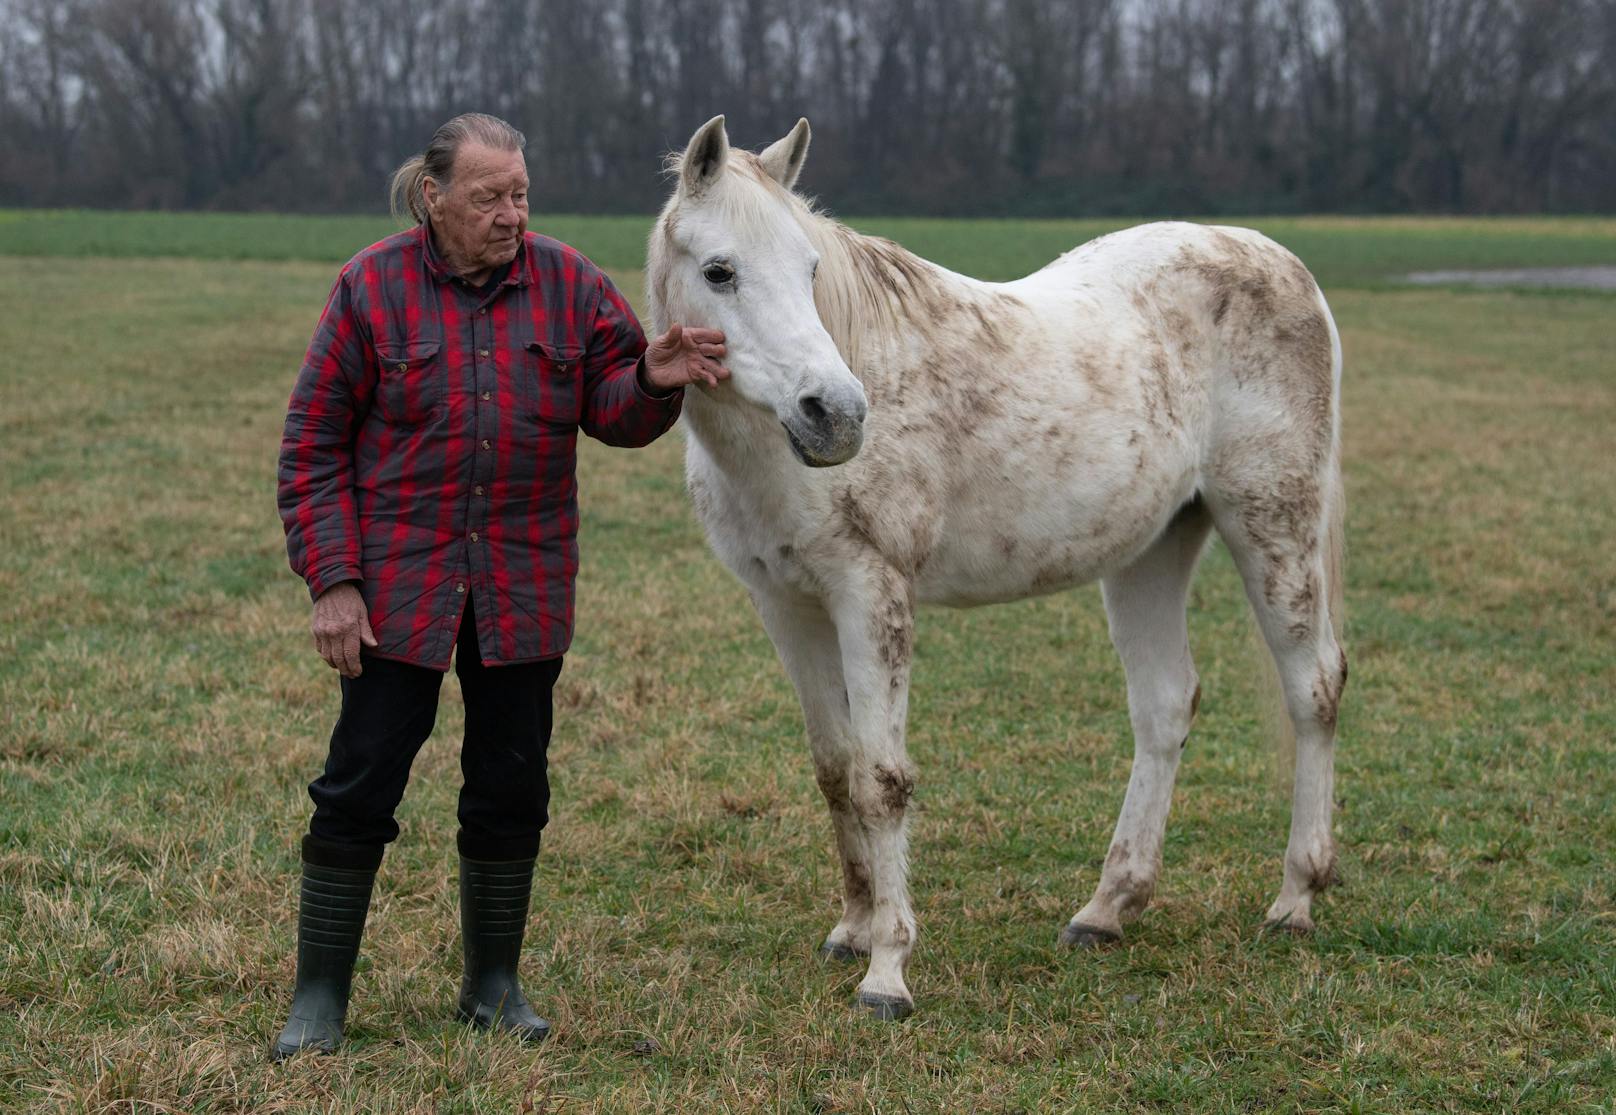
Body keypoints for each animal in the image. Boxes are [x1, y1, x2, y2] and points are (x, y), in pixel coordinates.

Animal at [649, 119, 1344, 1014]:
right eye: (719, 270)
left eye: (809, 269)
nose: (835, 415)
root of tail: (1284, 263)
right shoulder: (788, 606)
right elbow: (836, 770)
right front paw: (852, 929)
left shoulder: (871, 595)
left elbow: (882, 779)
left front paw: (888, 970)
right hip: (1153, 550)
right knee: (1164, 706)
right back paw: (1107, 908)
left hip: (1273, 527)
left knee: (1313, 687)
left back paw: (1295, 898)